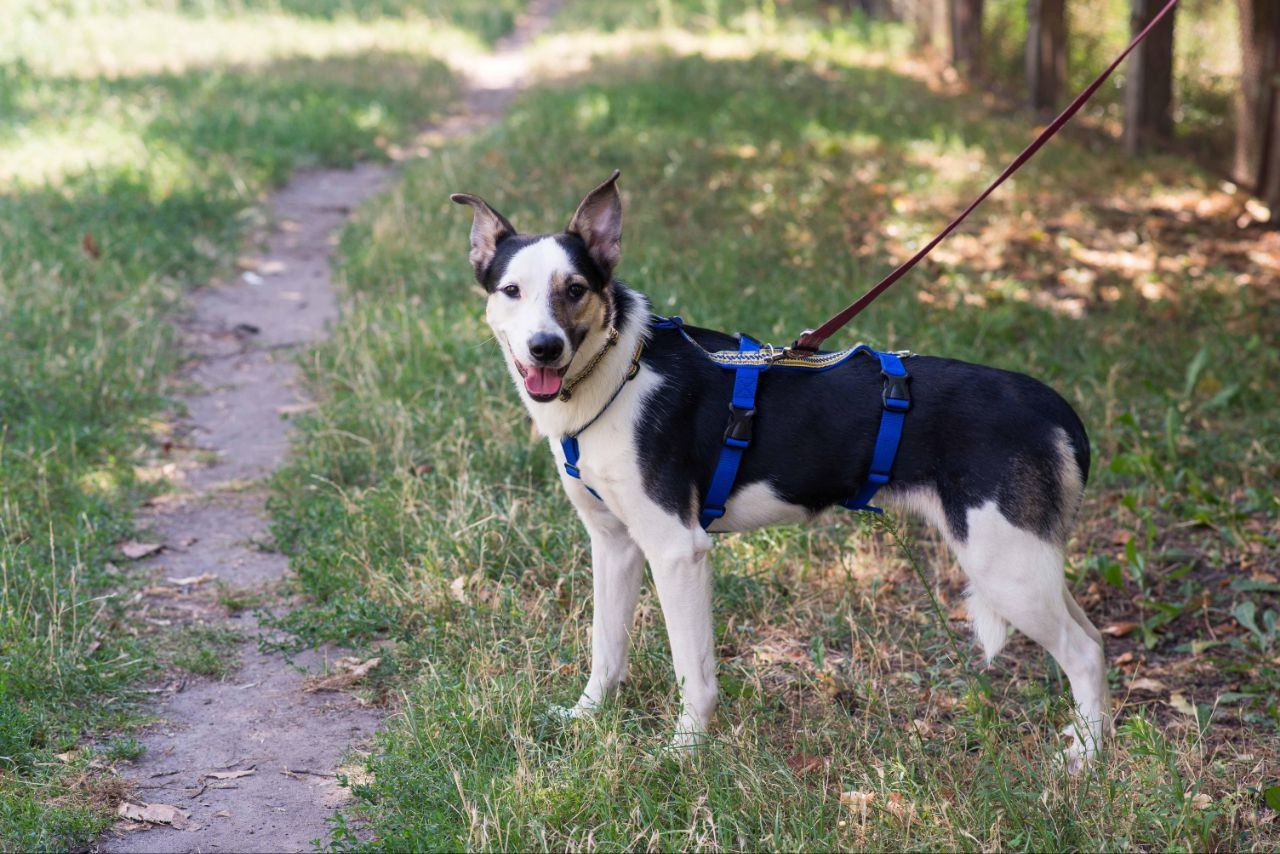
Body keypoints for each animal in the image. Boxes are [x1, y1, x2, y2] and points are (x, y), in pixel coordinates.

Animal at [453, 170, 1111, 773]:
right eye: (511, 290)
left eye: (576, 289)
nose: (544, 348)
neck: (621, 370)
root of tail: (1054, 408)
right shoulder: (614, 543)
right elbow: (606, 649)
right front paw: (588, 717)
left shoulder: (677, 550)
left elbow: (693, 671)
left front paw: (684, 751)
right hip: (1027, 561)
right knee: (1096, 640)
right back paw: (1086, 736)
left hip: (1006, 565)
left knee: (1083, 652)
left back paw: (1089, 761)